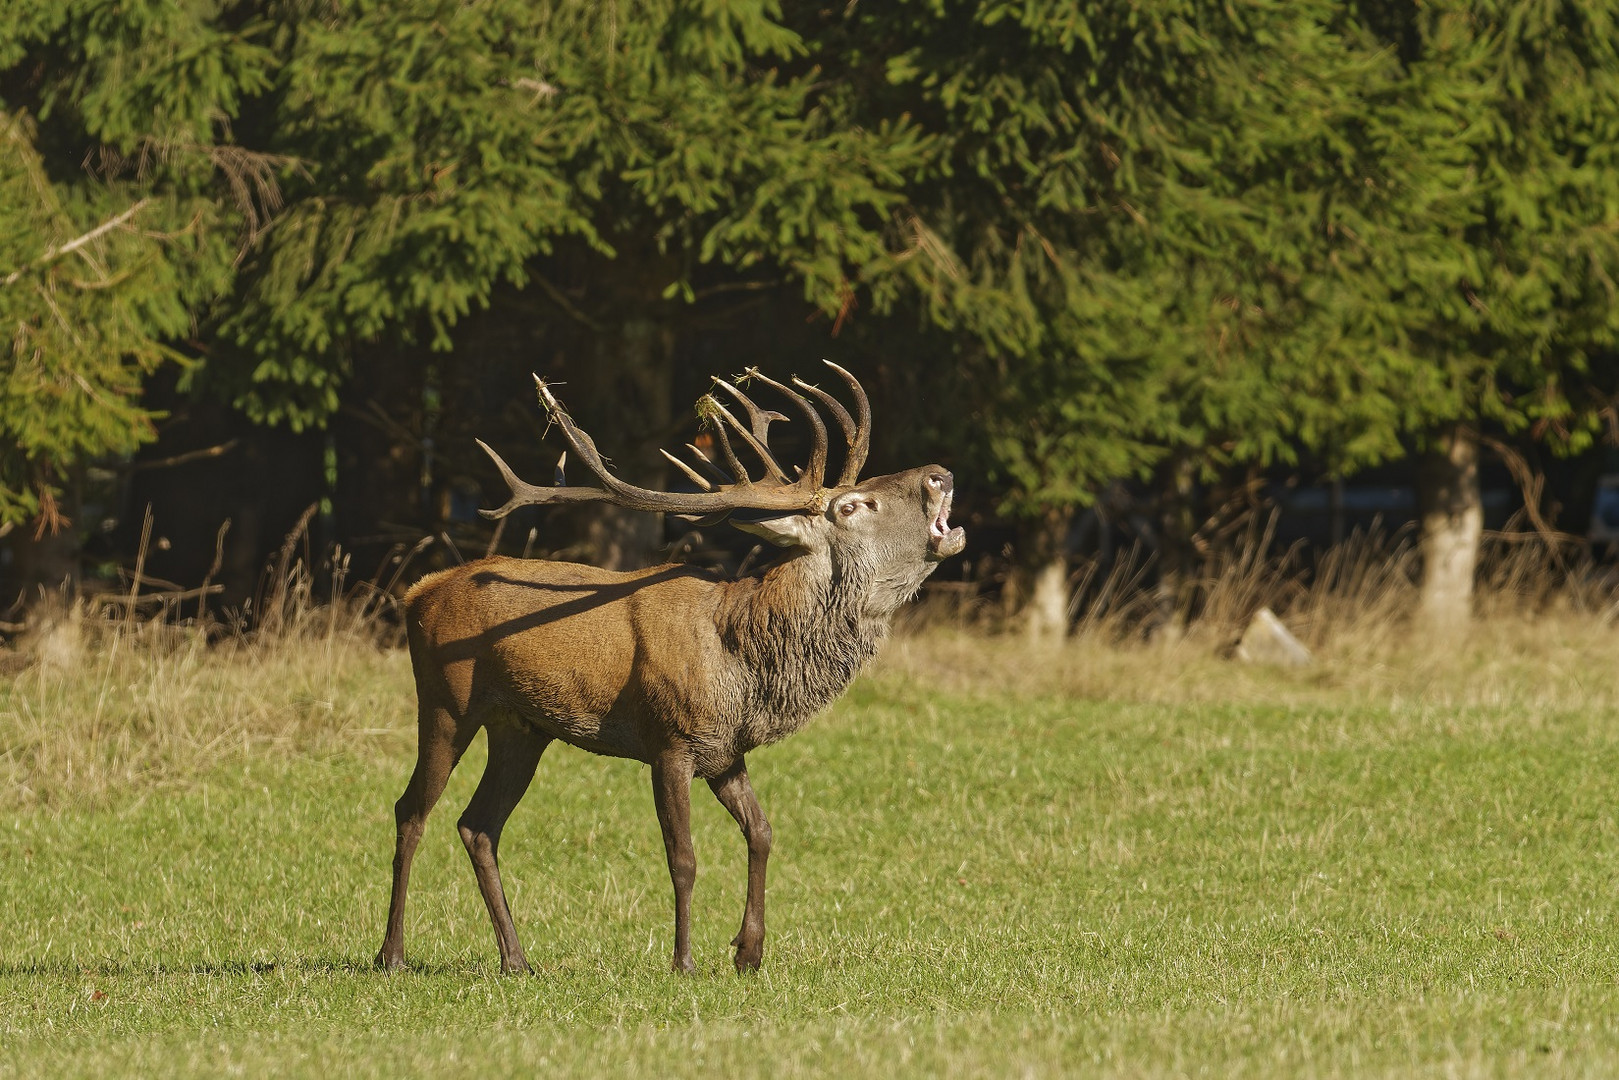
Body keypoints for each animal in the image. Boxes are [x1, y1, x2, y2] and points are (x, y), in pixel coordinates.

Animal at [375, 365, 958, 977]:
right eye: (852, 505)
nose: (941, 474)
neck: (742, 664)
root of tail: (416, 594)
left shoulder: (724, 751)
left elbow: (763, 832)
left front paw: (749, 952)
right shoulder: (669, 740)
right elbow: (684, 857)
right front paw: (684, 961)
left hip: (521, 729)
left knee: (478, 824)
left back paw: (516, 959)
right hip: (446, 702)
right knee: (411, 810)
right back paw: (391, 953)